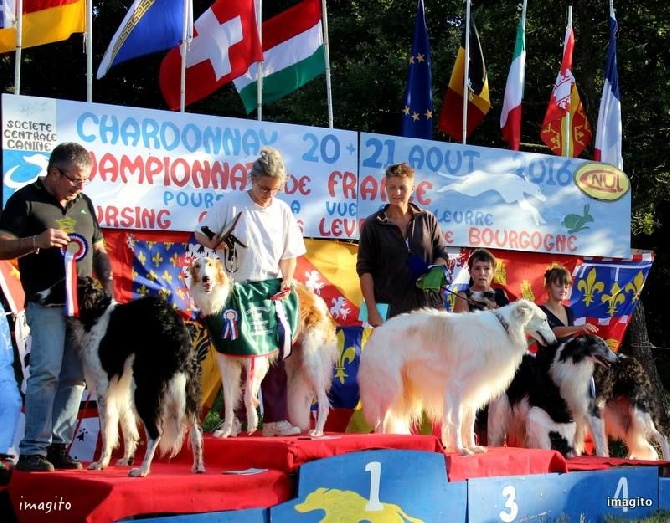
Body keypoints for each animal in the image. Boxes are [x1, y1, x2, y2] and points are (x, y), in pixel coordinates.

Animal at [68, 278, 206, 478]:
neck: (96, 311)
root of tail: (175, 330)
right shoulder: (121, 387)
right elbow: (128, 426)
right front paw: (126, 458)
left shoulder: (104, 386)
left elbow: (108, 430)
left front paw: (102, 463)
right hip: (188, 388)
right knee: (196, 429)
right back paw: (198, 466)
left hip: (145, 387)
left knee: (156, 431)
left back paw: (142, 469)